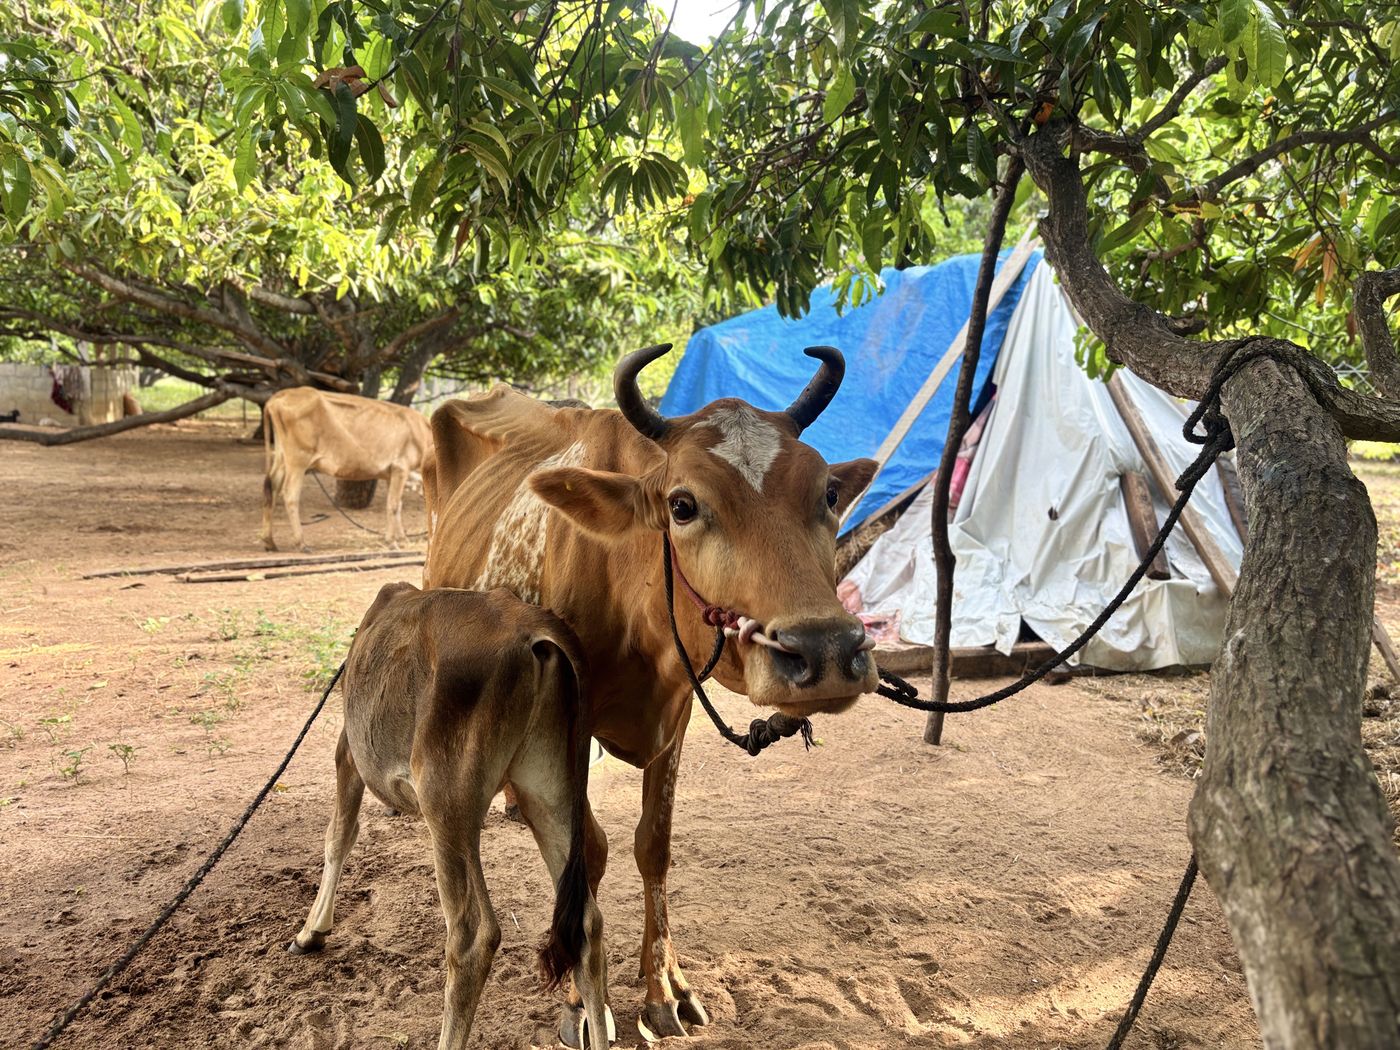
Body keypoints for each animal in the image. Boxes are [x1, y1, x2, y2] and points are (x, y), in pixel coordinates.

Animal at [259, 387, 432, 552]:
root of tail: (279, 396)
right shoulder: (400, 467)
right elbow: (393, 505)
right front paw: (392, 542)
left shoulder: (392, 474)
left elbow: (398, 505)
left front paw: (403, 539)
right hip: (298, 461)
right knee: (290, 495)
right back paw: (301, 543)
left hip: (282, 459)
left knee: (271, 488)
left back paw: (269, 542)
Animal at [289, 582, 612, 1050]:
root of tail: (533, 627)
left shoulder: (348, 750)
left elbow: (339, 835)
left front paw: (311, 931)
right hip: (548, 791)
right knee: (586, 925)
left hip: (446, 801)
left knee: (473, 937)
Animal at [424, 344, 879, 1042]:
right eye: (683, 505)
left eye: (828, 492)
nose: (826, 650)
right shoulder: (571, 728)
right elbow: (585, 855)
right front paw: (581, 1001)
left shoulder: (677, 716)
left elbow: (652, 847)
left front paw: (664, 987)